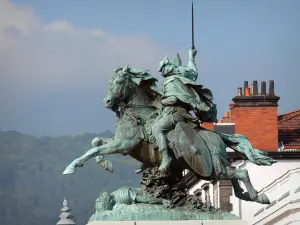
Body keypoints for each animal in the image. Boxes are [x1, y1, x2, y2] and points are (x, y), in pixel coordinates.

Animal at [62, 67, 276, 206]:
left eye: (119, 82)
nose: (107, 102)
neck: (138, 113)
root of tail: (218, 136)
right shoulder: (120, 143)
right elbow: (96, 143)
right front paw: (106, 164)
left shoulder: (124, 144)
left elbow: (93, 149)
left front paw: (70, 167)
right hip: (216, 169)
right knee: (235, 175)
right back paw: (247, 196)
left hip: (214, 167)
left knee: (242, 173)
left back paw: (258, 197)